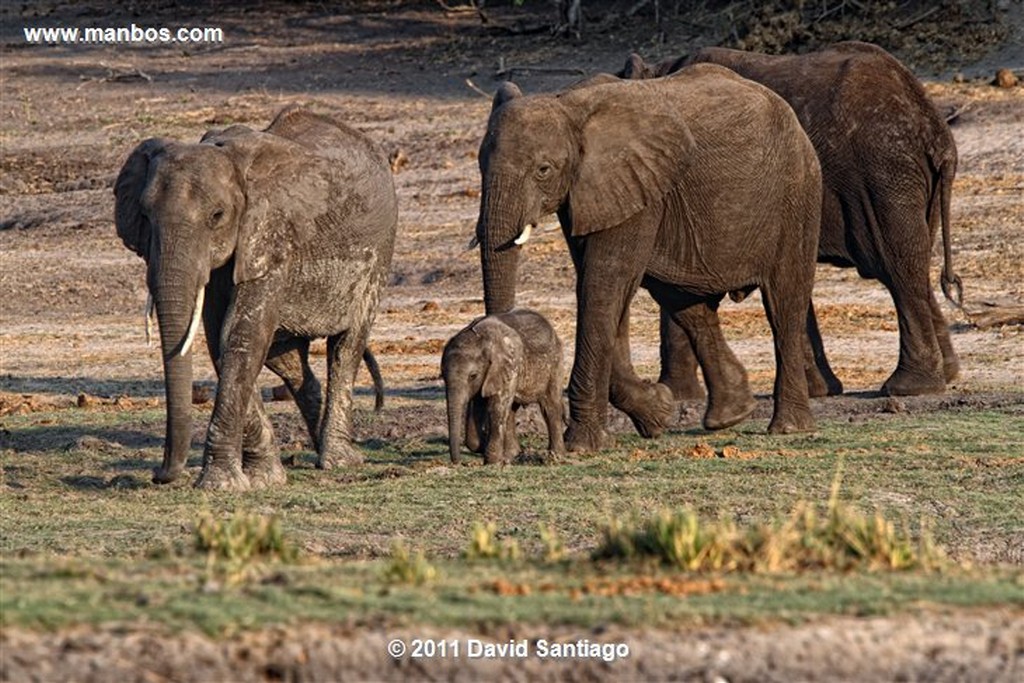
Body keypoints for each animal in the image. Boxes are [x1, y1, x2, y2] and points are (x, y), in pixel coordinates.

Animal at [114, 105, 395, 491]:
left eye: (217, 216)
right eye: (144, 216)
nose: (158, 475)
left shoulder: (271, 235)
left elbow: (240, 336)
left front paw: (220, 484)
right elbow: (222, 341)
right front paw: (264, 478)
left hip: (377, 257)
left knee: (347, 346)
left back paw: (339, 460)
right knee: (286, 359)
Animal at [442, 309, 565, 464]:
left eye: (473, 376)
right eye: (443, 376)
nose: (458, 462)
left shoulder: (510, 364)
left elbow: (496, 408)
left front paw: (492, 461)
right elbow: (478, 405)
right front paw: (482, 447)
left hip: (555, 363)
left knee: (550, 406)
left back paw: (555, 456)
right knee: (511, 409)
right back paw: (511, 455)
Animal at [473, 61, 823, 450]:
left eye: (543, 170)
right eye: (479, 165)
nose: (495, 442)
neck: (569, 105)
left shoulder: (637, 188)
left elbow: (604, 286)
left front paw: (583, 444)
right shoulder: (595, 193)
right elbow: (602, 292)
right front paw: (656, 414)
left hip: (798, 193)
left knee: (784, 305)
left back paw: (788, 427)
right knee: (687, 306)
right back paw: (730, 415)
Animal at [618, 42, 962, 401]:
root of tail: (936, 132)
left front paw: (677, 395)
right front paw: (819, 390)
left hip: (885, 176)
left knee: (898, 266)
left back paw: (908, 387)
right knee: (915, 261)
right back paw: (946, 373)